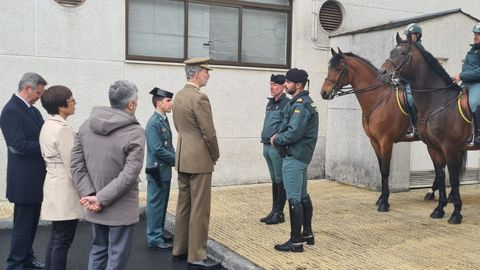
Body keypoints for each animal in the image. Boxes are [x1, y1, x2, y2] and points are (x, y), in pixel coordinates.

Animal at [320, 48, 430, 213]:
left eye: (338, 69)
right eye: (329, 68)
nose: (324, 93)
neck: (378, 99)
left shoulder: (386, 141)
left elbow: (385, 170)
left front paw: (385, 202)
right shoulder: (374, 141)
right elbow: (380, 169)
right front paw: (381, 199)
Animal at [378, 33, 468, 224]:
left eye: (404, 53)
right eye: (391, 52)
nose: (382, 73)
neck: (439, 101)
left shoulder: (450, 147)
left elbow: (453, 178)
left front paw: (456, 213)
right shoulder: (434, 147)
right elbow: (441, 175)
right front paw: (439, 209)